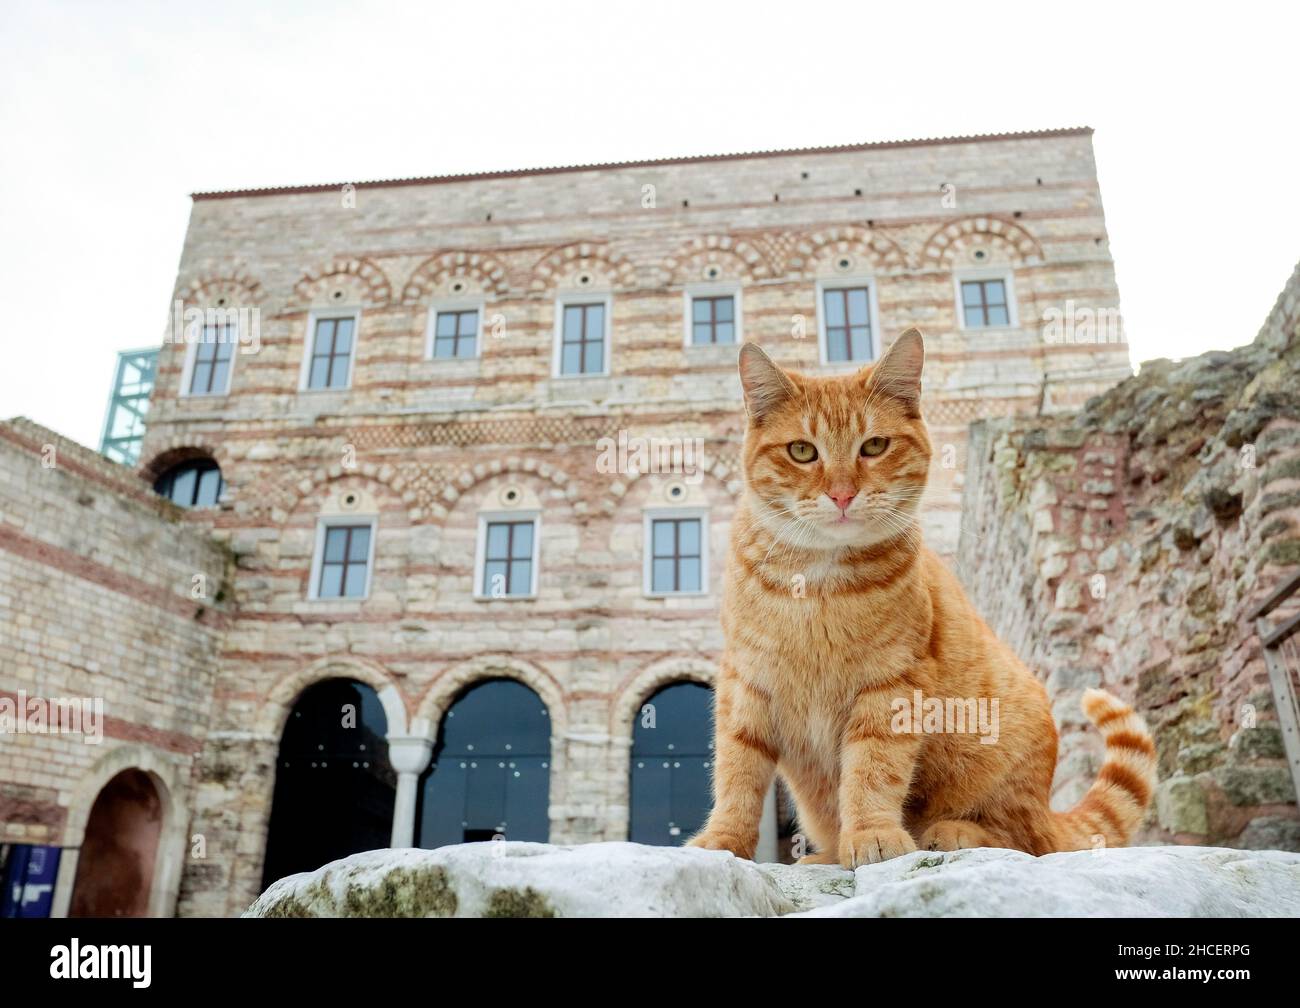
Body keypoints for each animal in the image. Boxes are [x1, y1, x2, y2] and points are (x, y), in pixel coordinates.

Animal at [691, 329, 1159, 868]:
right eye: (802, 451)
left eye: (874, 446)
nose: (842, 495)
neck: (817, 581)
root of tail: (1049, 807)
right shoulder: (744, 684)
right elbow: (737, 774)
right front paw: (722, 841)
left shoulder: (891, 685)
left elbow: (873, 769)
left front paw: (872, 833)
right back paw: (824, 854)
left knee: (1025, 839)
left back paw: (952, 831)